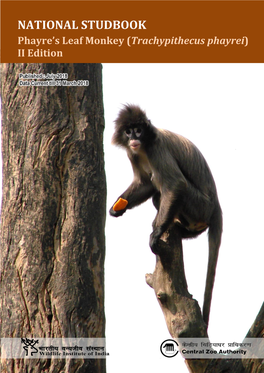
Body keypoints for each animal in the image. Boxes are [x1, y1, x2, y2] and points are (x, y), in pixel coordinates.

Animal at [109, 104, 223, 326]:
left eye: (139, 130)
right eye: (128, 131)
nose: (134, 137)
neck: (144, 147)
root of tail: (216, 208)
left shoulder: (156, 149)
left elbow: (176, 183)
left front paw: (157, 232)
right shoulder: (133, 154)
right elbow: (145, 183)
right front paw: (118, 207)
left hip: (199, 205)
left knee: (166, 184)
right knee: (156, 192)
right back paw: (181, 228)